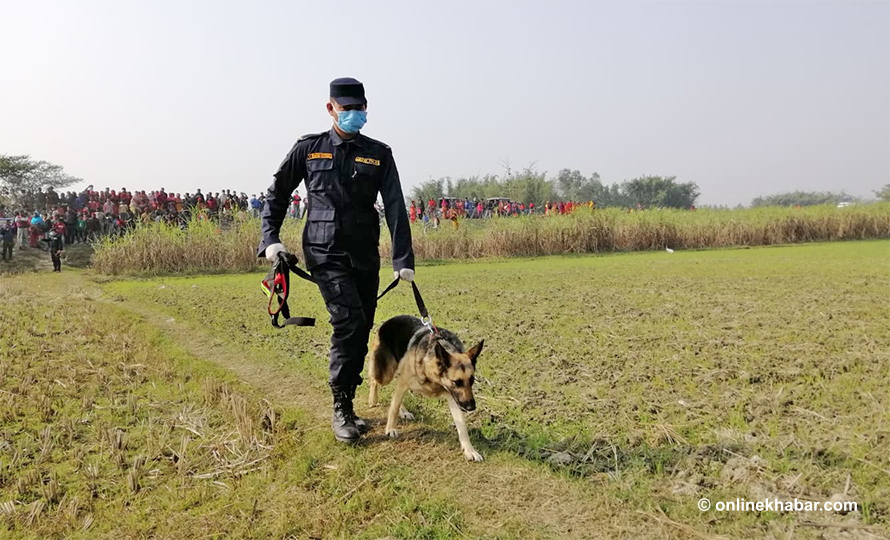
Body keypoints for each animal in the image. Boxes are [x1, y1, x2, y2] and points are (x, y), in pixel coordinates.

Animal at [368, 314, 486, 462]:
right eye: (456, 382)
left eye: (471, 381)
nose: (471, 407)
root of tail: (390, 320)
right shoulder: (404, 382)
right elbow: (393, 408)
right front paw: (390, 429)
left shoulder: (453, 398)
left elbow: (462, 426)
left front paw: (469, 450)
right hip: (385, 375)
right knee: (375, 380)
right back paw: (373, 399)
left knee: (394, 395)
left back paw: (404, 411)